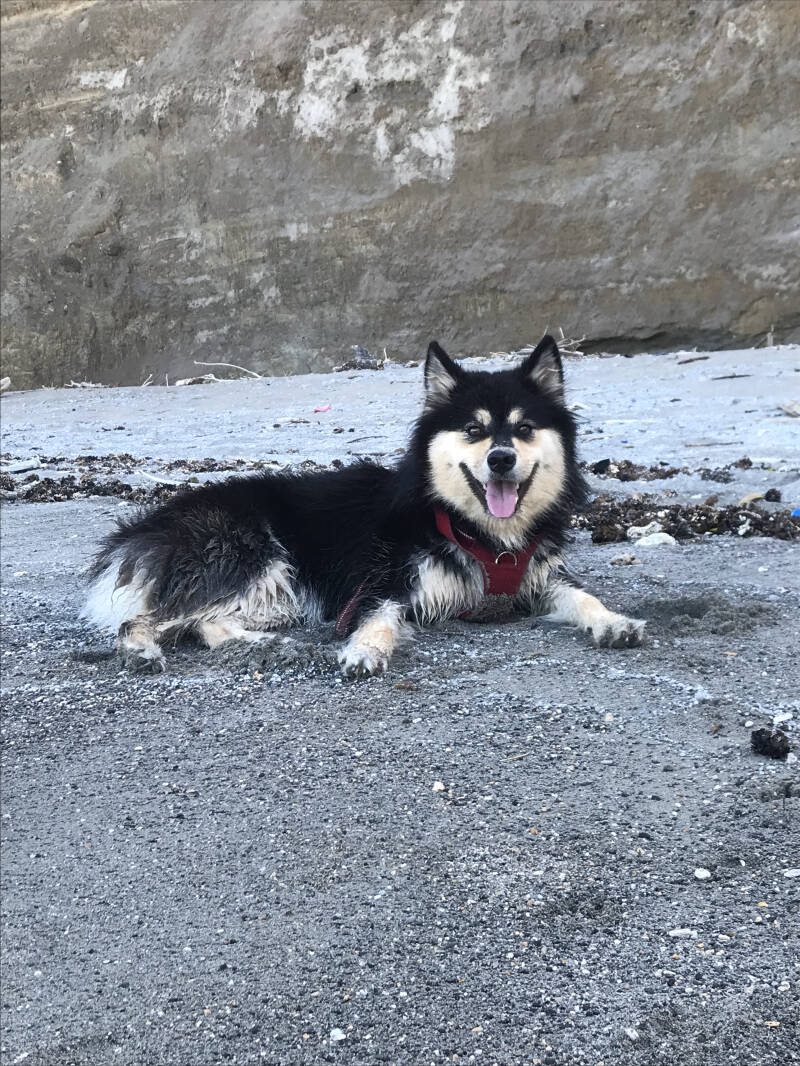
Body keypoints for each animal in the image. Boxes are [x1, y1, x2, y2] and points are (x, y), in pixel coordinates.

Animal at [84, 335, 646, 676]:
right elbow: (377, 616)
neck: (481, 533)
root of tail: (154, 523)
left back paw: (260, 643)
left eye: (525, 428)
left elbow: (583, 597)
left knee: (201, 623)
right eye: (473, 429)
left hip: (278, 591)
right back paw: (143, 649)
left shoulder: (540, 577)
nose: (502, 458)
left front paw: (613, 621)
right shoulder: (386, 579)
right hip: (256, 559)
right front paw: (364, 650)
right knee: (147, 619)